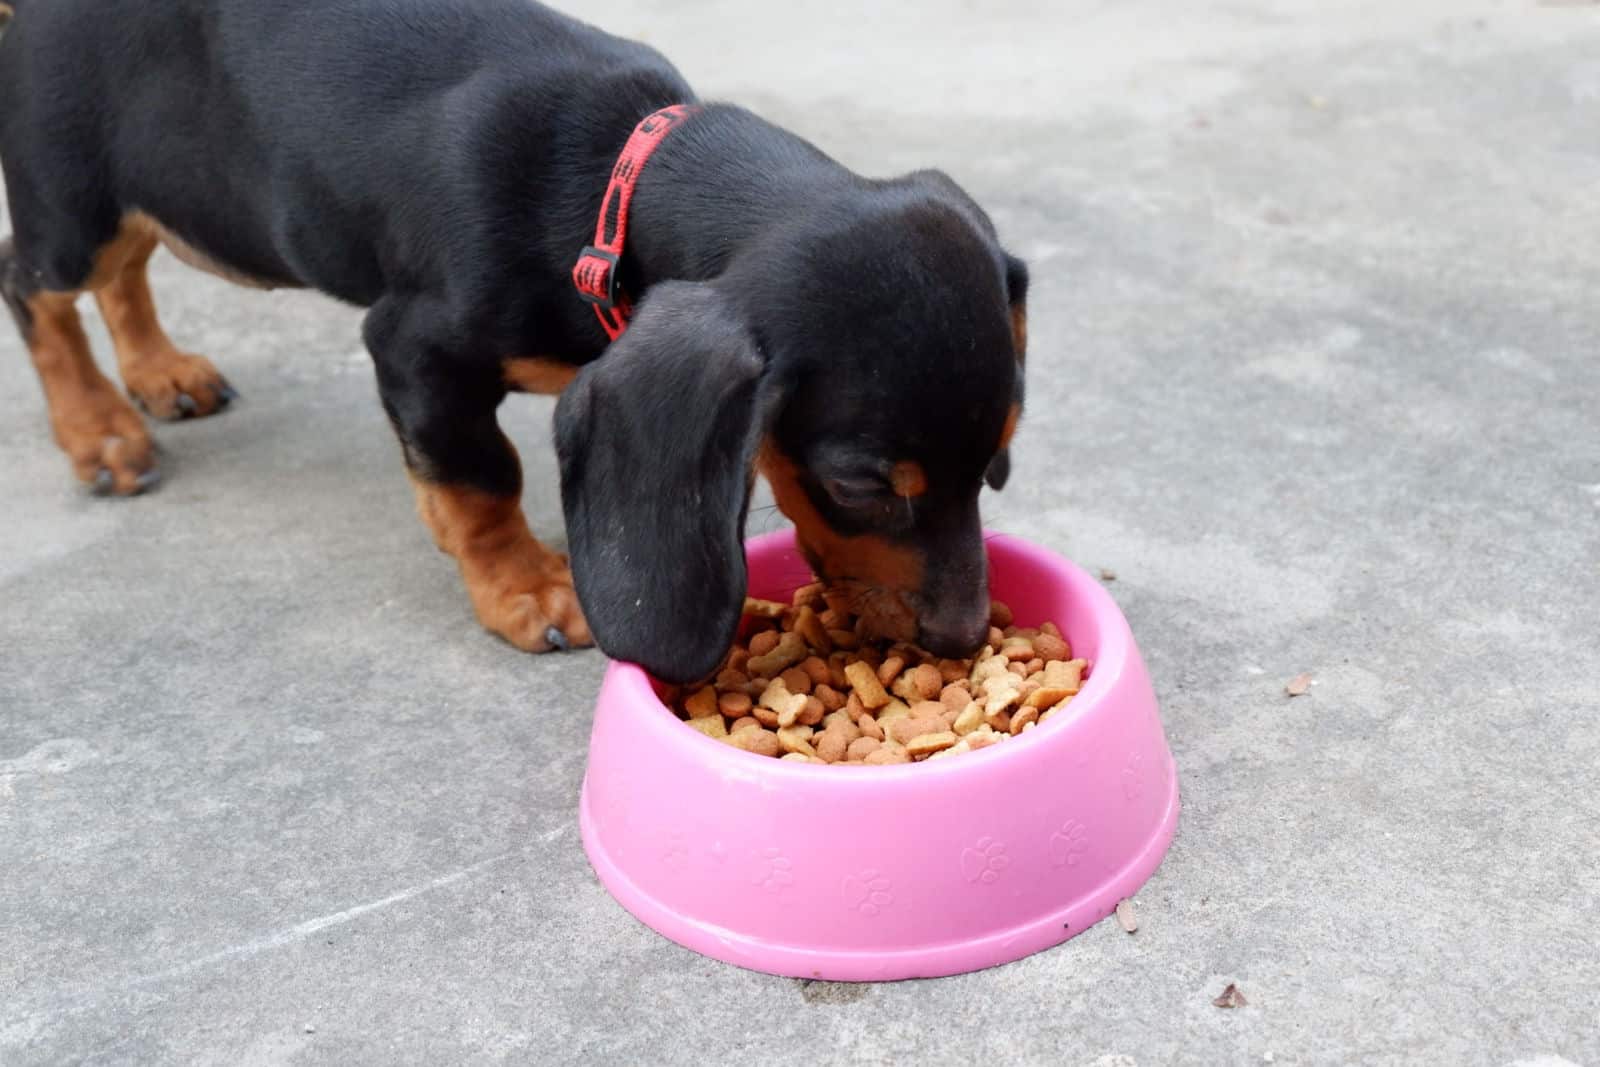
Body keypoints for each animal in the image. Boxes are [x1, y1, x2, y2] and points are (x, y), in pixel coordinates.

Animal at [0, 2, 1024, 684]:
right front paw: (525, 588)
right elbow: (479, 478)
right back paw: (98, 431)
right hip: (73, 203)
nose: (963, 638)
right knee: (33, 285)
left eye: (999, 457)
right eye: (859, 484)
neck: (610, 186)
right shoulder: (413, 346)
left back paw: (158, 373)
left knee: (125, 272)